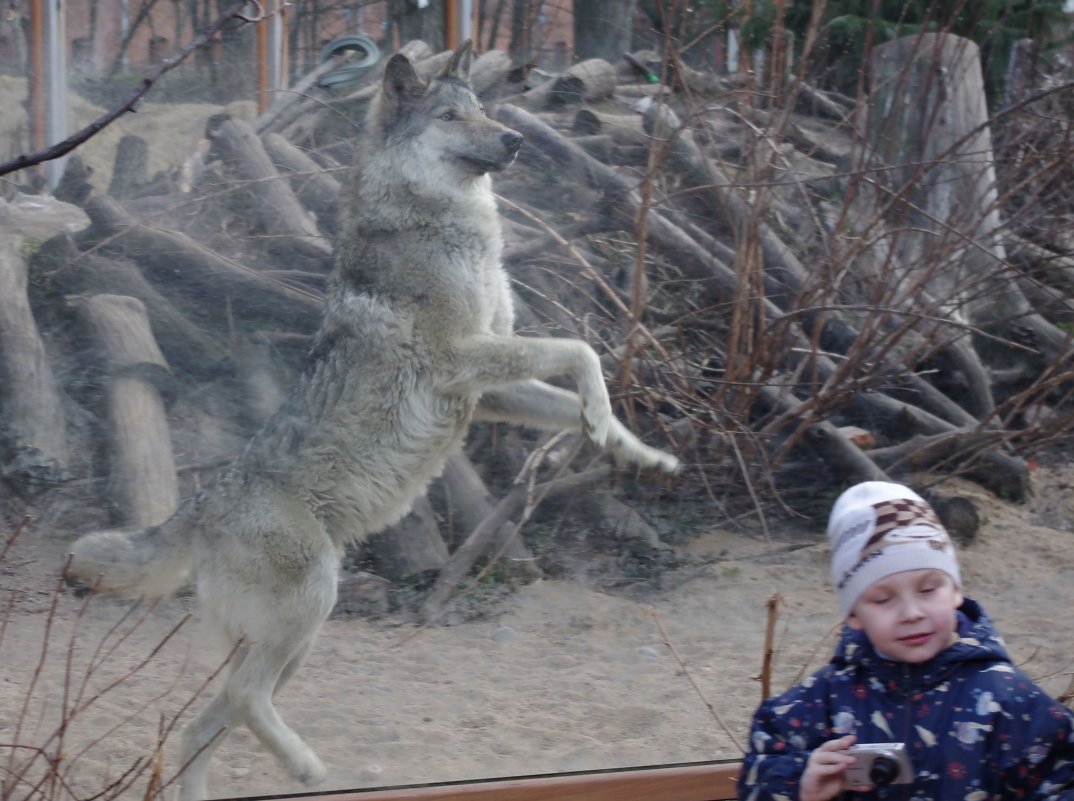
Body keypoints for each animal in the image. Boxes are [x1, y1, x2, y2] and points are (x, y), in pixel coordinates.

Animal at [64, 38, 678, 798]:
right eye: (451, 117)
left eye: (483, 109)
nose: (513, 139)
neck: (447, 225)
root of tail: (200, 507)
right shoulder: (465, 359)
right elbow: (582, 348)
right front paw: (602, 418)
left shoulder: (490, 388)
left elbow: (581, 392)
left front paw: (633, 449)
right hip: (310, 610)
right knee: (239, 696)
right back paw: (305, 765)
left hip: (293, 642)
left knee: (199, 725)